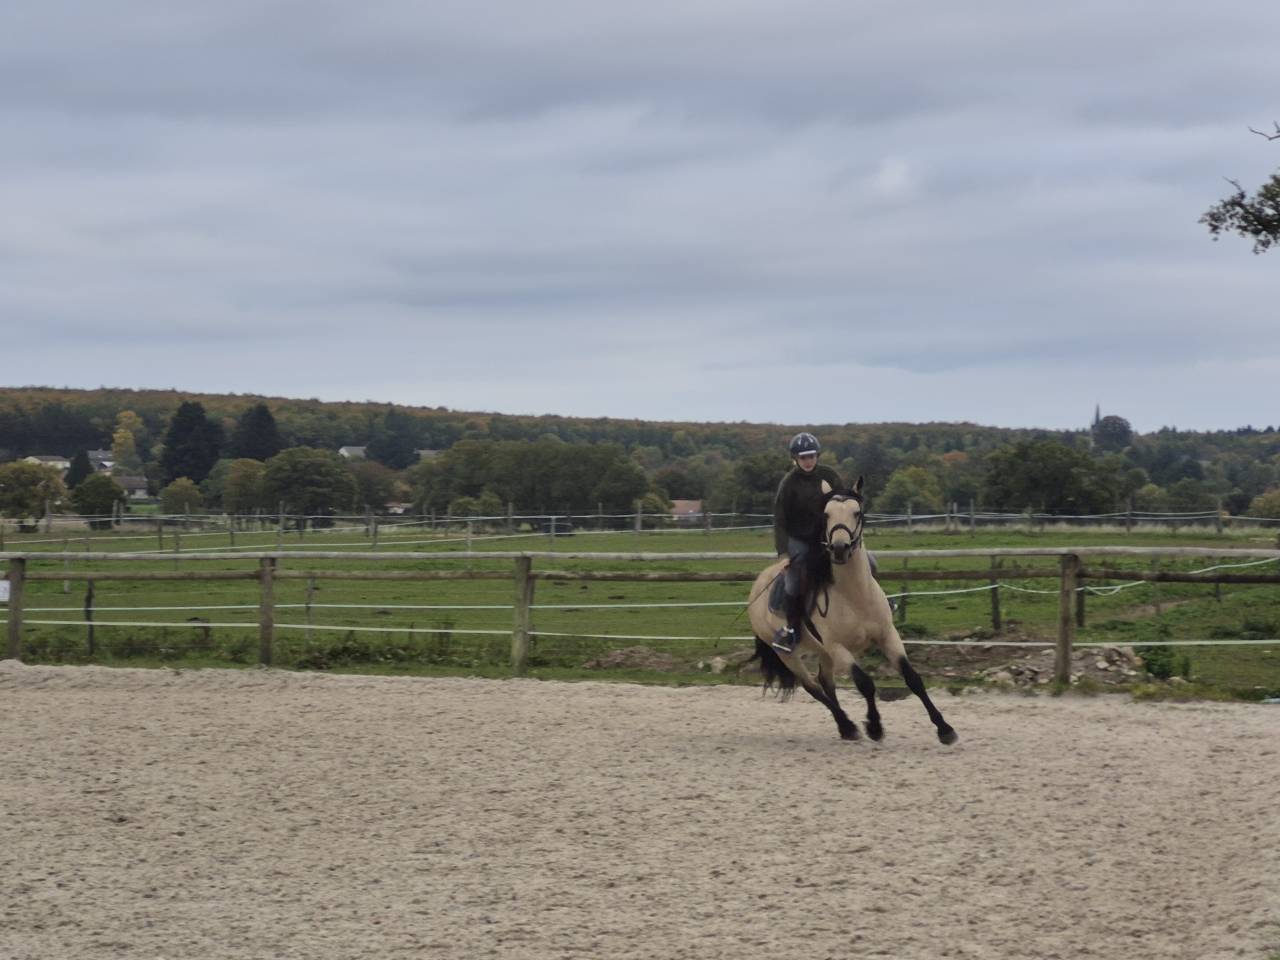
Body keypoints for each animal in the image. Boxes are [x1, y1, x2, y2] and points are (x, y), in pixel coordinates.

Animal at [747, 478, 958, 745]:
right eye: (826, 514)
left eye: (857, 512)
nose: (839, 548)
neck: (855, 596)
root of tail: (757, 587)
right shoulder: (838, 647)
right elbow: (865, 683)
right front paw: (875, 727)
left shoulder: (887, 636)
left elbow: (913, 679)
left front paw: (945, 729)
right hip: (789, 654)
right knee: (812, 687)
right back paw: (848, 725)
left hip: (823, 652)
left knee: (826, 682)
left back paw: (845, 728)